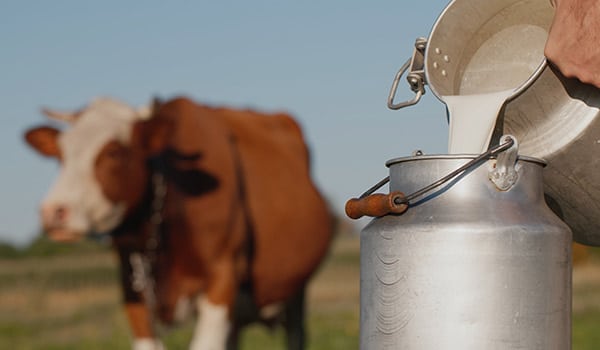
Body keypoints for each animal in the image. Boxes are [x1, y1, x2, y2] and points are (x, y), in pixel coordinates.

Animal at [24, 96, 332, 350]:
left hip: (296, 291)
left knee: (296, 334)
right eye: (60, 155)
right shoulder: (132, 286)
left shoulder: (223, 274)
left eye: (114, 151)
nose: (53, 211)